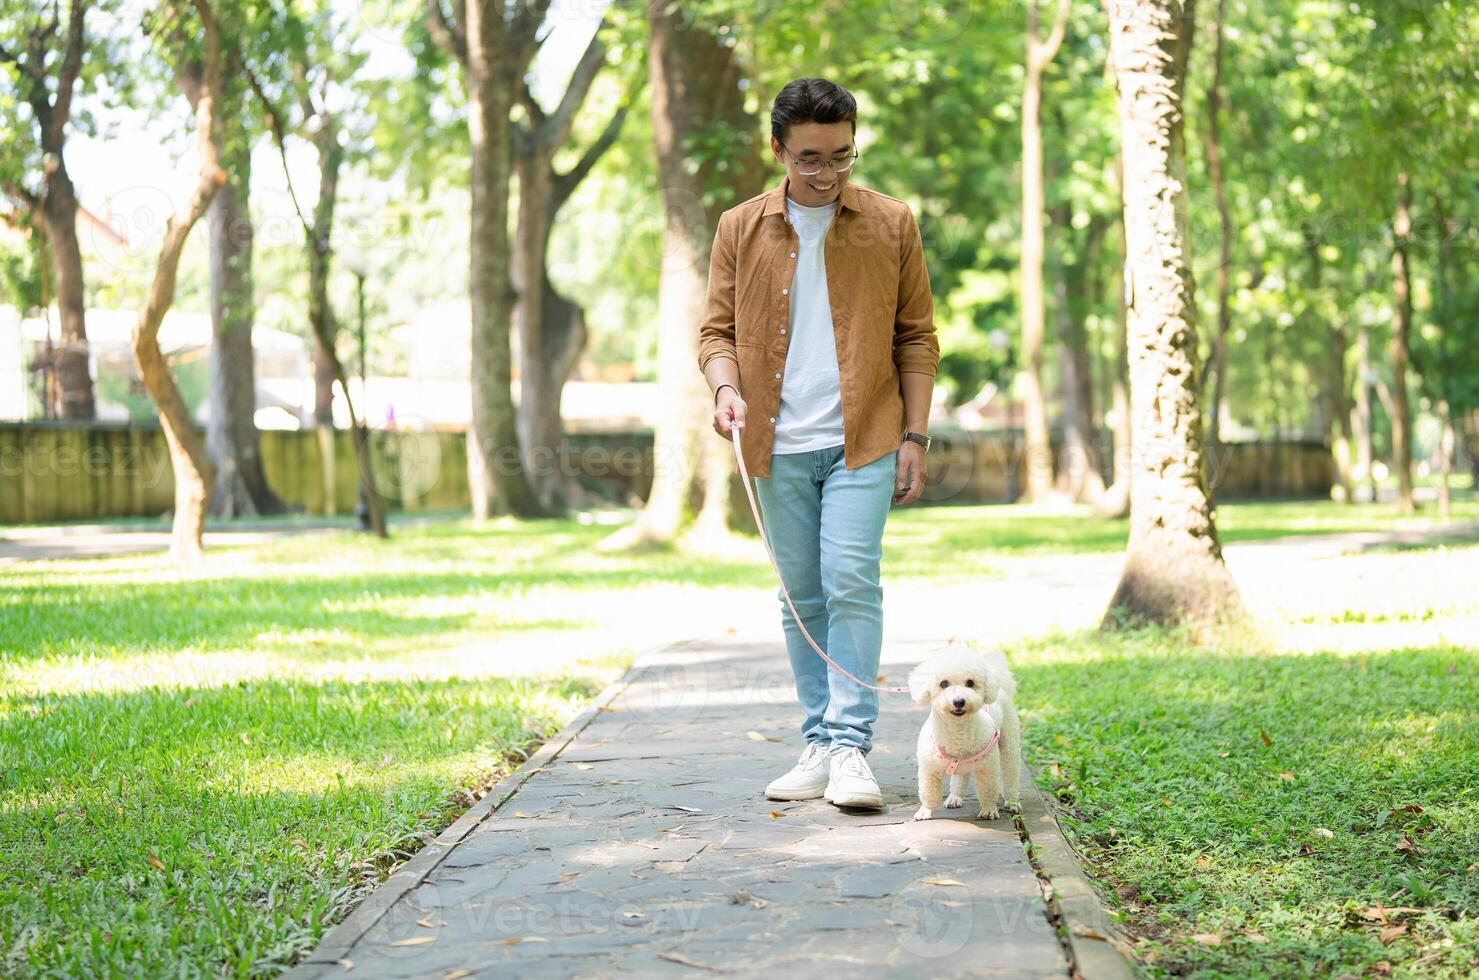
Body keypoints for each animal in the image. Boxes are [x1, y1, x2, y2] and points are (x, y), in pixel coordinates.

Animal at [905, 641, 1023, 821]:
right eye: (943, 683)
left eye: (970, 683)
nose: (959, 701)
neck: (957, 733)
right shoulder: (929, 770)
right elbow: (928, 793)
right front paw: (925, 810)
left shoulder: (988, 768)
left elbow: (988, 790)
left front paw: (989, 809)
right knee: (960, 777)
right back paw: (954, 797)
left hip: (1010, 744)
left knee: (1010, 774)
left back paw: (1012, 802)